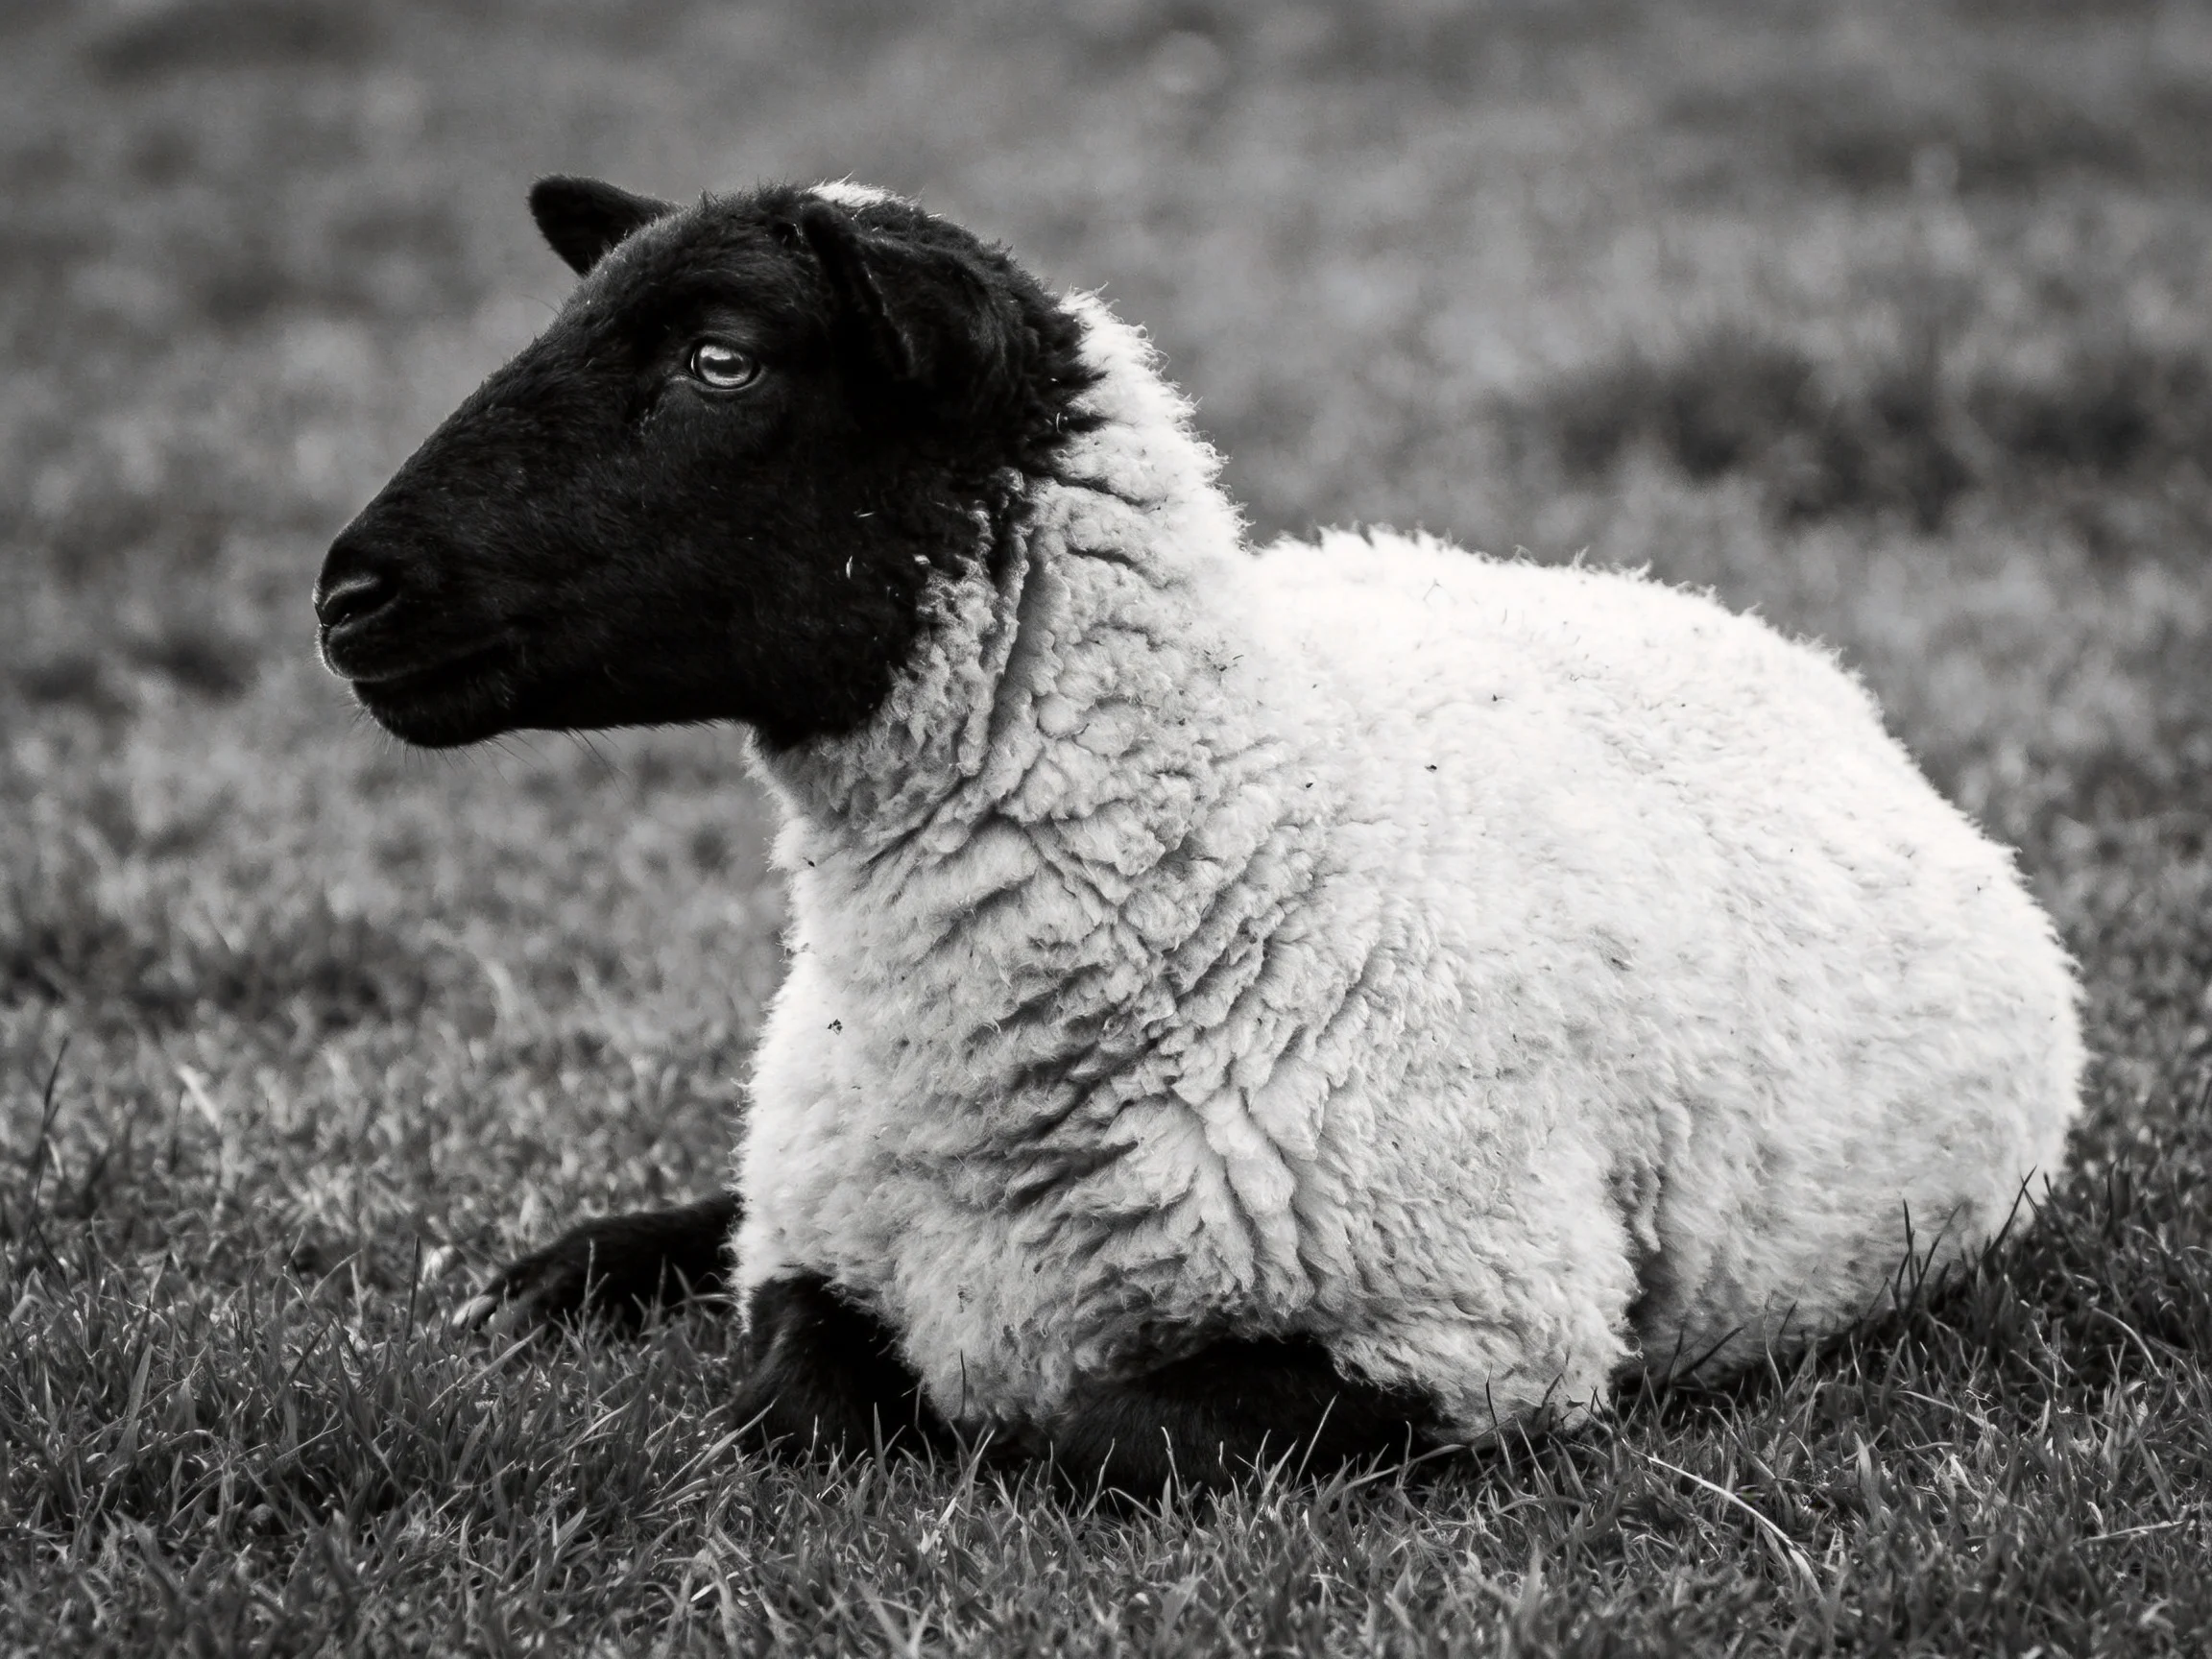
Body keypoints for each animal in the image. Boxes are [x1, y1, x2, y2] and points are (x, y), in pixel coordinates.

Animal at [314, 176, 2083, 1493]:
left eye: (721, 360)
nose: (348, 595)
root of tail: (1724, 618)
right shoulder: (822, 1248)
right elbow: (788, 1390)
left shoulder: (1482, 1334)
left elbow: (1071, 1427)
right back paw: (550, 1274)